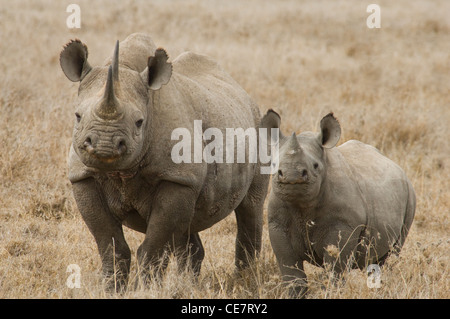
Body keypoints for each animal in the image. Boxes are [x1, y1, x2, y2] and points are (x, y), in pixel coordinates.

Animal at [60, 33, 270, 292]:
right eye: (78, 116)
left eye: (139, 122)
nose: (104, 146)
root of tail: (245, 95)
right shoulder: (83, 176)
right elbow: (110, 245)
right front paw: (111, 290)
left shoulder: (176, 178)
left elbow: (153, 246)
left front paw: (145, 291)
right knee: (188, 224)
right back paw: (190, 284)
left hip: (259, 127)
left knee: (250, 207)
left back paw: (245, 281)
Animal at [262, 111, 416, 298]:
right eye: (273, 164)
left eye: (315, 166)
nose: (292, 176)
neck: (303, 206)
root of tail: (396, 165)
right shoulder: (277, 223)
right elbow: (291, 271)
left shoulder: (344, 225)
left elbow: (335, 269)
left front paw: (330, 293)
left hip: (410, 196)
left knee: (393, 253)